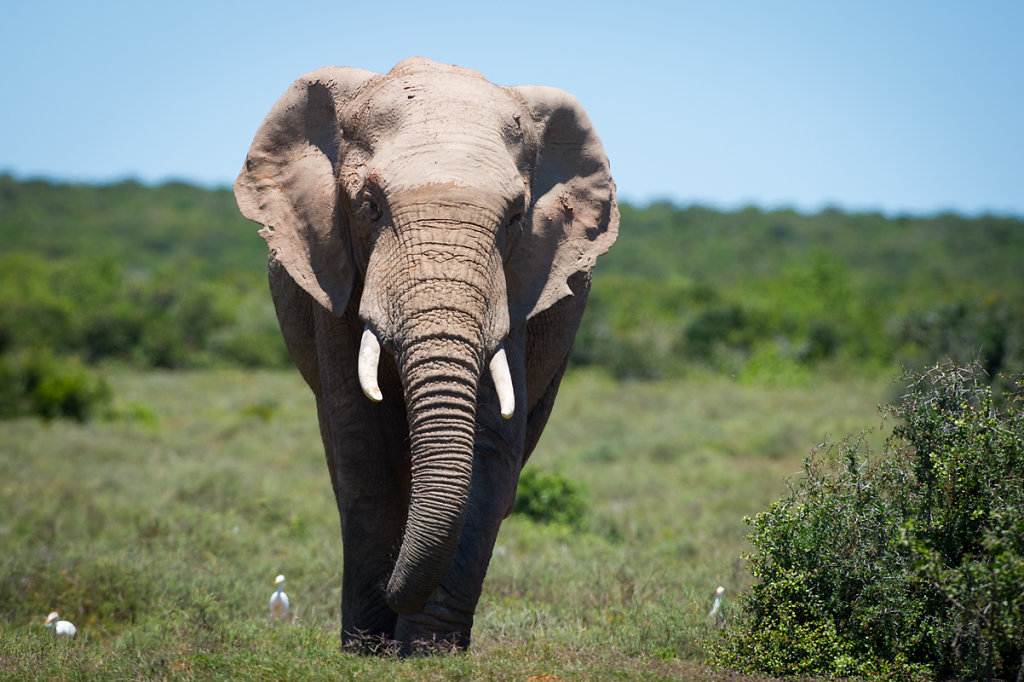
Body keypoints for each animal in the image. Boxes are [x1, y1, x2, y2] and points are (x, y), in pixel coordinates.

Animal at [234, 57, 614, 647]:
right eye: (369, 206)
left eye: (515, 218)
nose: (391, 592)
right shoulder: (333, 270)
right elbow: (362, 444)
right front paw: (368, 647)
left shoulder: (519, 284)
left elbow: (489, 446)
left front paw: (427, 651)